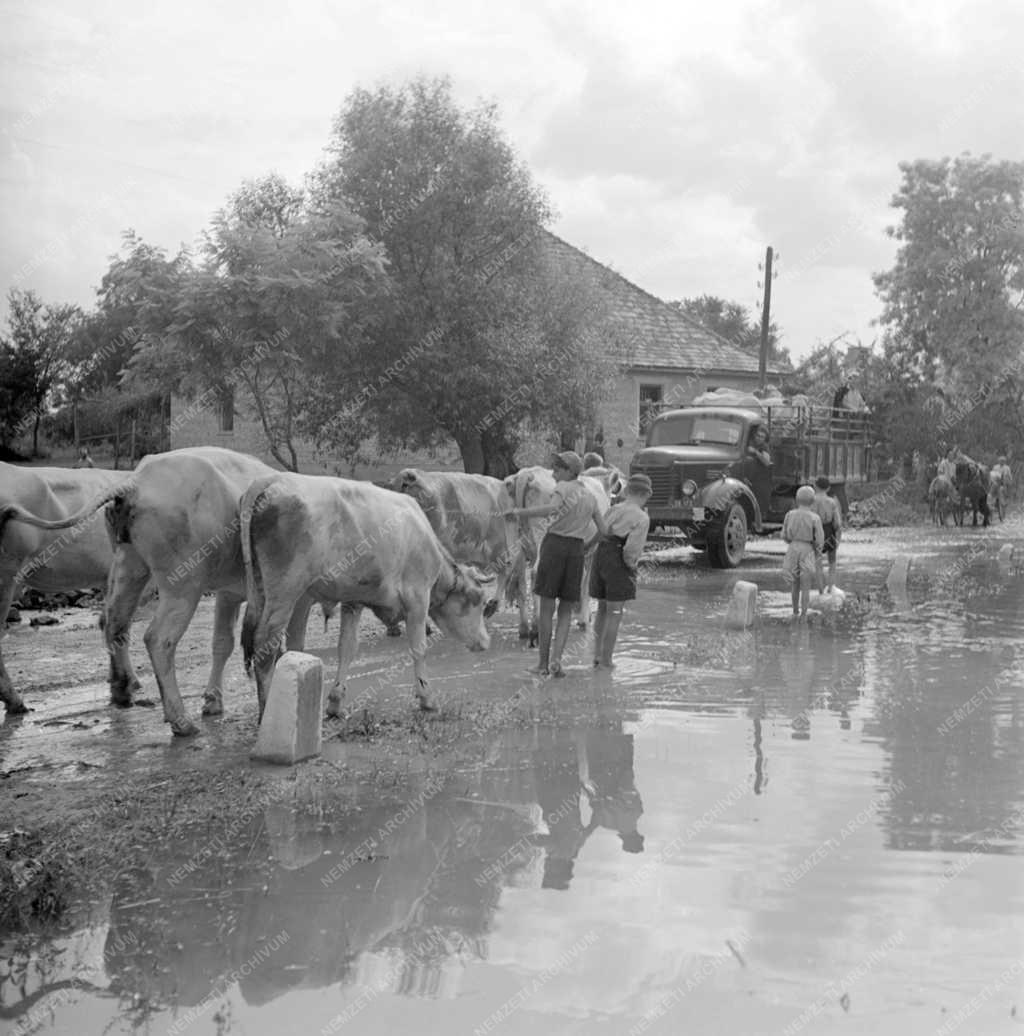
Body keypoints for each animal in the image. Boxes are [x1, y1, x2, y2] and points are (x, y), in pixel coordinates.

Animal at [0, 468, 133, 716]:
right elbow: (120, 625)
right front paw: (125, 686)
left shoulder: (107, 578)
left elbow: (106, 621)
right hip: (8, 577)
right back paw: (15, 701)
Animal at [241, 474, 495, 716]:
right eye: (481, 603)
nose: (486, 642)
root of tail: (273, 480)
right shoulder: (417, 598)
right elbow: (419, 648)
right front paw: (427, 699)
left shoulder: (353, 601)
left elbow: (347, 647)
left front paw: (336, 702)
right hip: (286, 590)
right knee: (266, 644)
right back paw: (267, 707)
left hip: (262, 591)